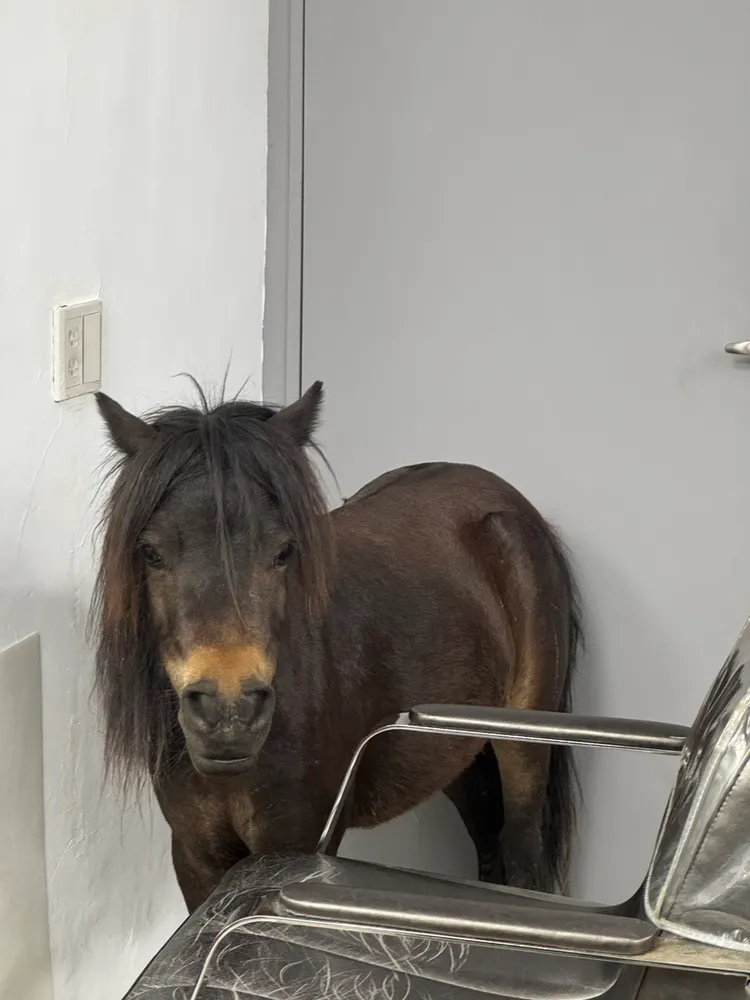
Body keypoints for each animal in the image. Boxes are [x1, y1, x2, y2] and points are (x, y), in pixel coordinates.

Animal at [92, 381, 582, 912]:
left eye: (284, 551)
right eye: (150, 552)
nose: (230, 715)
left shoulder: (291, 853)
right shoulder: (195, 854)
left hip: (524, 752)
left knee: (522, 855)